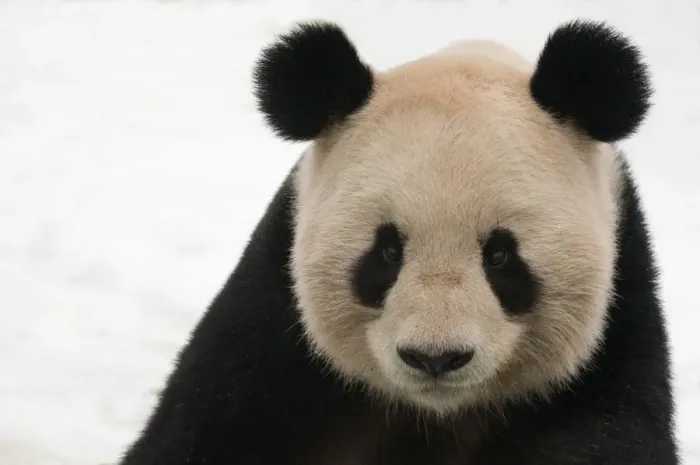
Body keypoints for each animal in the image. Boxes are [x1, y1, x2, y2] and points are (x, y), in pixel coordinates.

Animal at [118, 19, 679, 465]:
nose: (435, 358)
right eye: (387, 251)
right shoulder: (269, 337)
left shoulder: (616, 338)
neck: (434, 414)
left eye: (500, 256)